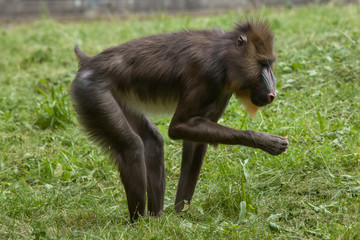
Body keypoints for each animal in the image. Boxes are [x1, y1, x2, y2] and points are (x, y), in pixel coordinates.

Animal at [70, 20, 290, 221]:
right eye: (262, 64)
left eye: (270, 64)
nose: (272, 94)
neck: (224, 54)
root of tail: (89, 63)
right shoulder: (205, 75)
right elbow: (177, 127)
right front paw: (264, 140)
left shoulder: (220, 93)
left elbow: (194, 141)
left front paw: (179, 216)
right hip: (94, 94)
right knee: (131, 147)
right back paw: (138, 223)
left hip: (120, 97)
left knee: (152, 141)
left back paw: (156, 219)